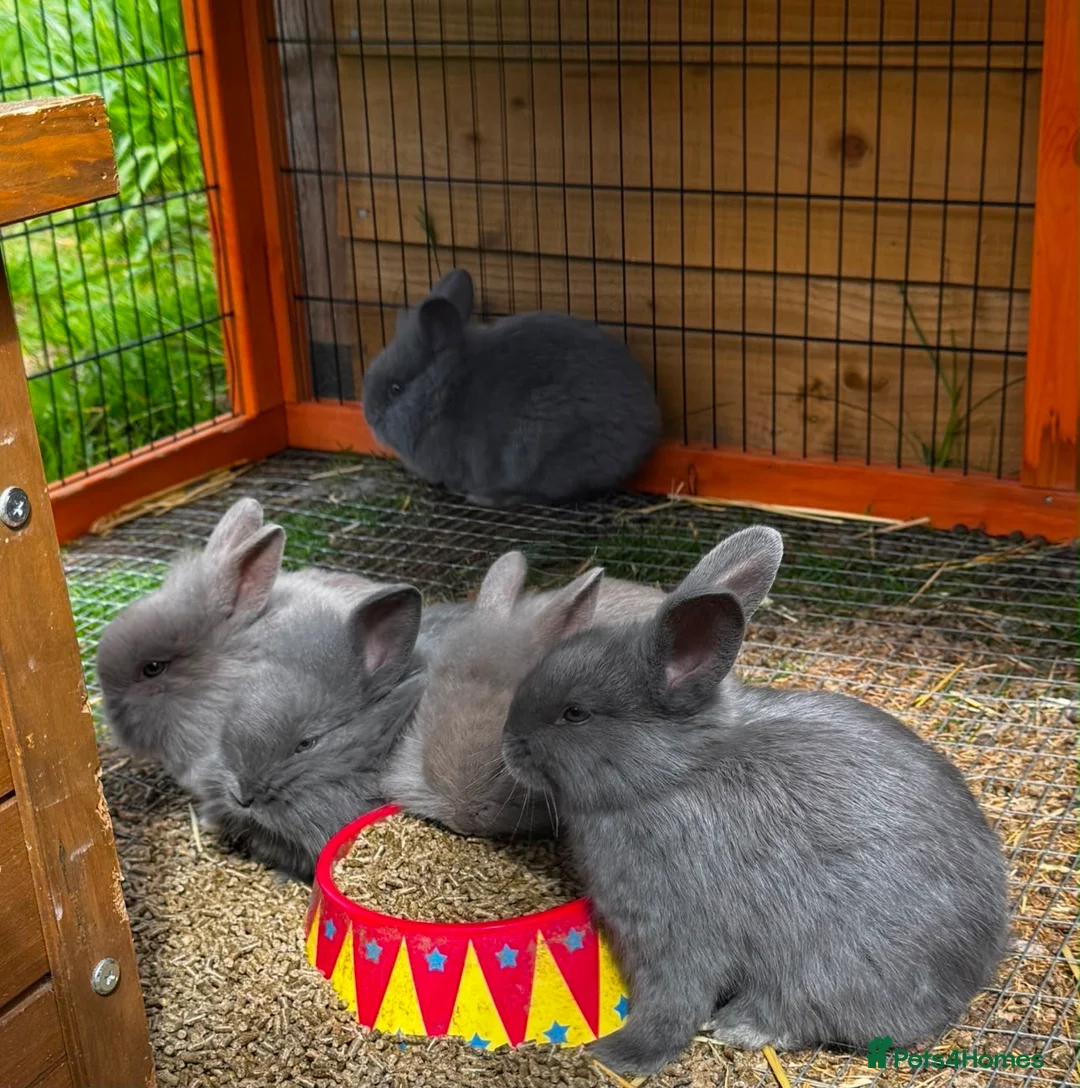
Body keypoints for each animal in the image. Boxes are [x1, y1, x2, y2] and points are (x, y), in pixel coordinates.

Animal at [500, 525, 1009, 1075]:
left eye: (575, 713)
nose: (506, 744)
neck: (672, 777)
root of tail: (974, 971)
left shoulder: (674, 928)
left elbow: (673, 1001)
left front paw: (618, 1056)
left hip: (832, 964)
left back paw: (742, 1026)